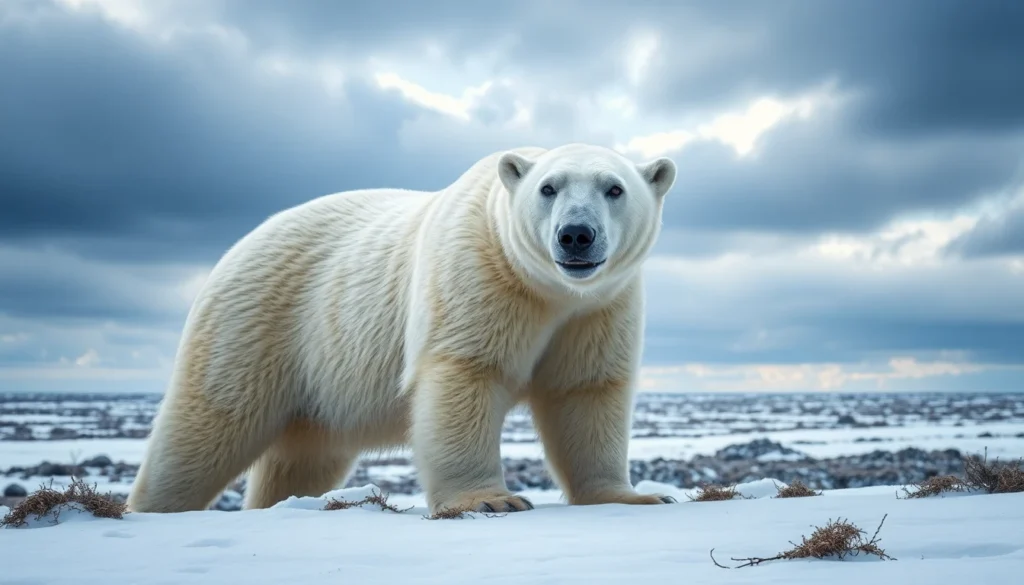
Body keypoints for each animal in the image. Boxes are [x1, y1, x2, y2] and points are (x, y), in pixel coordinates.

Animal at [126, 142, 678, 515]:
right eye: (548, 187)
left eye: (614, 188)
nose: (576, 235)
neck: (546, 290)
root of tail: (241, 244)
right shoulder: (477, 273)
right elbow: (465, 374)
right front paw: (491, 500)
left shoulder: (598, 309)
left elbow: (586, 391)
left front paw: (632, 496)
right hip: (259, 321)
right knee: (208, 424)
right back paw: (155, 506)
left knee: (304, 456)